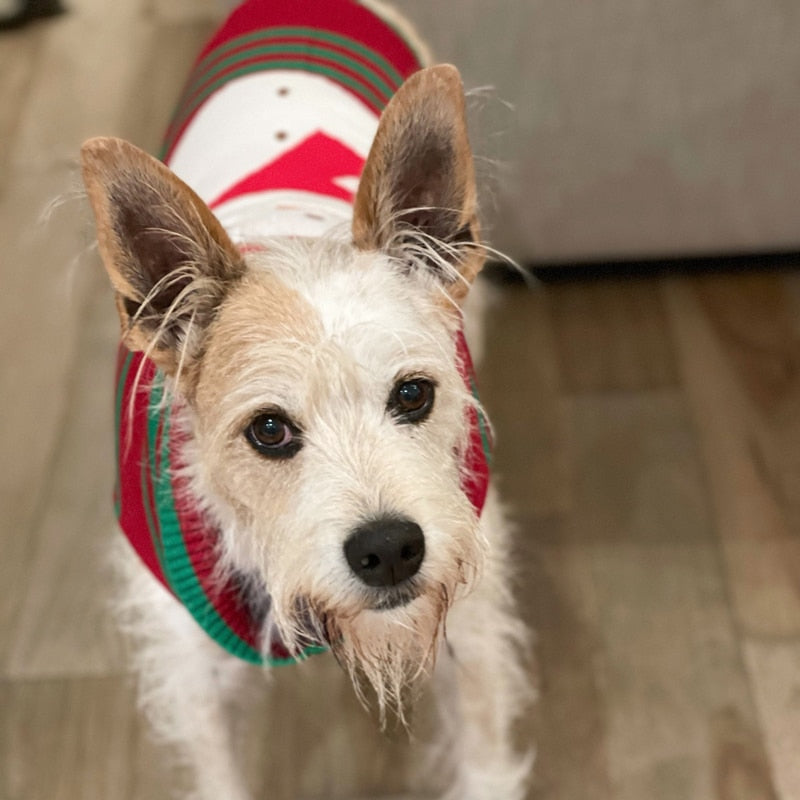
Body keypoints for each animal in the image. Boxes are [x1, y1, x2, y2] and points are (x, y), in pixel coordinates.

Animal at [79, 1, 532, 800]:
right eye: (268, 430)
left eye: (414, 394)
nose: (390, 549)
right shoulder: (187, 666)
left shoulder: (471, 615)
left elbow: (482, 756)